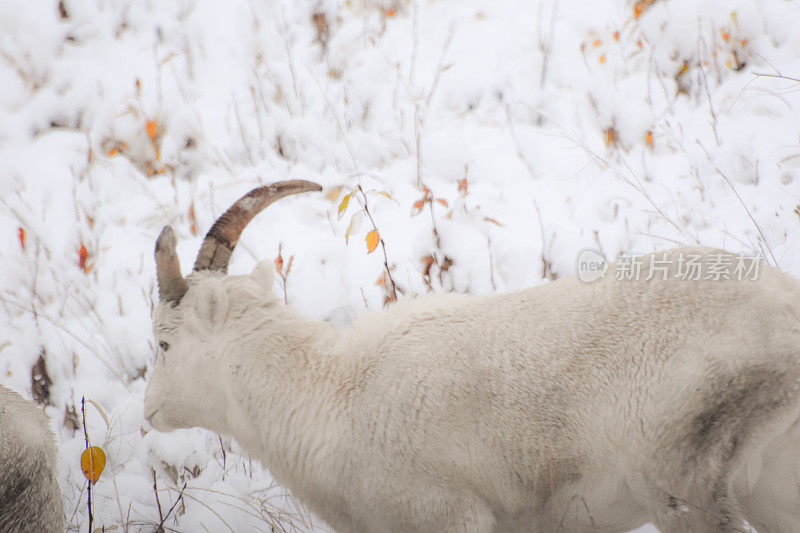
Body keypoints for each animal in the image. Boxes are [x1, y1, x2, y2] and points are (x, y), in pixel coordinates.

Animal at [145, 180, 800, 532]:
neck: (331, 391)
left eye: (163, 342)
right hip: (770, 487)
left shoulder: (448, 515)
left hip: (686, 493)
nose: (149, 411)